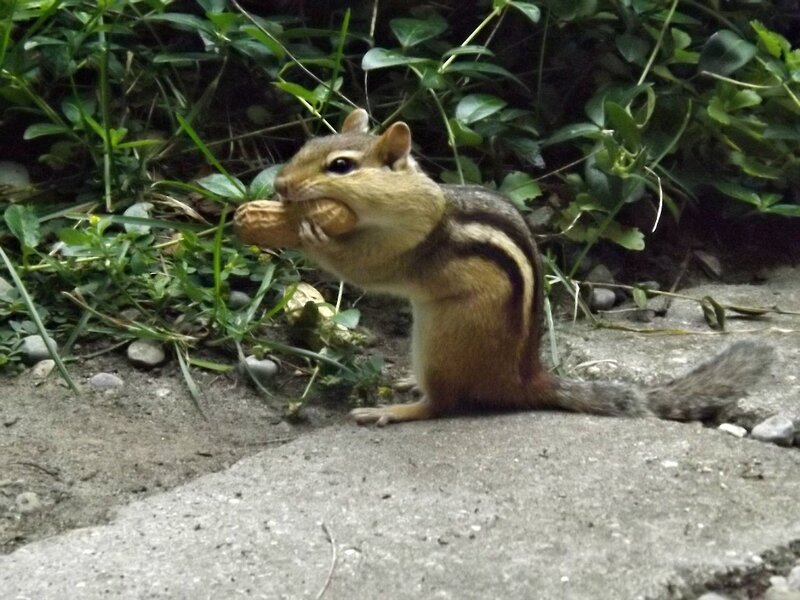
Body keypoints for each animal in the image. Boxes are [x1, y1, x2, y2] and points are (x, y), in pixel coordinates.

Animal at [270, 108, 774, 426]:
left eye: (340, 166)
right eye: (308, 145)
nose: (279, 185)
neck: (414, 199)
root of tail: (524, 379)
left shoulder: (407, 244)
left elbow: (366, 269)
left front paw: (312, 237)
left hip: (440, 338)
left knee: (443, 403)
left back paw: (397, 410)